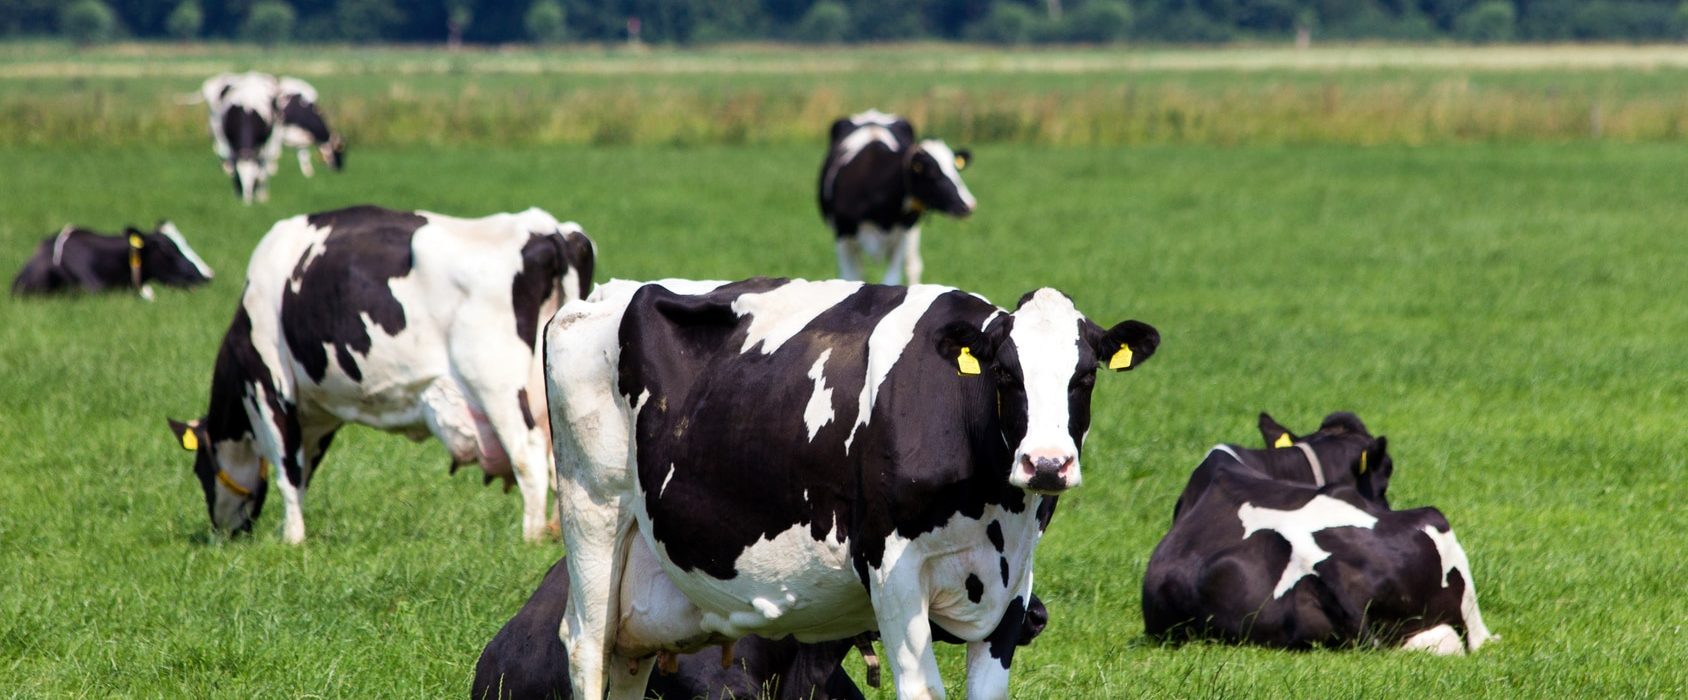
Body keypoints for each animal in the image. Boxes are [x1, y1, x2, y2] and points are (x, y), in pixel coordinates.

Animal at [166, 205, 595, 544]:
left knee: (529, 457)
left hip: (496, 386)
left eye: (199, 469)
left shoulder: (270, 387)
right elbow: (303, 471)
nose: (222, 533)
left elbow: (288, 468)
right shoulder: (317, 413)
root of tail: (550, 230)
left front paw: (291, 539)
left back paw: (531, 536)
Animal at [201, 72, 283, 204]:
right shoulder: (229, 141)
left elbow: (262, 169)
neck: (247, 110)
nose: (247, 199)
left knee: (267, 162)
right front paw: (237, 192)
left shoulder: (263, 144)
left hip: (274, 134)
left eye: (253, 178)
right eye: (240, 177)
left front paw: (261, 195)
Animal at [544, 278, 1159, 700]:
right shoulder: (892, 569)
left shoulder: (1015, 580)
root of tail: (600, 295)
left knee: (626, 657)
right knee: (587, 646)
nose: (1047, 464)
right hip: (592, 513)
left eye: (1085, 376)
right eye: (1005, 374)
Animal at [818, 110, 976, 286]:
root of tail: (872, 115)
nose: (968, 204)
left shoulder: (903, 235)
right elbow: (852, 277)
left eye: (956, 168)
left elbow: (891, 280)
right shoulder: (842, 236)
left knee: (913, 266)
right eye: (932, 172)